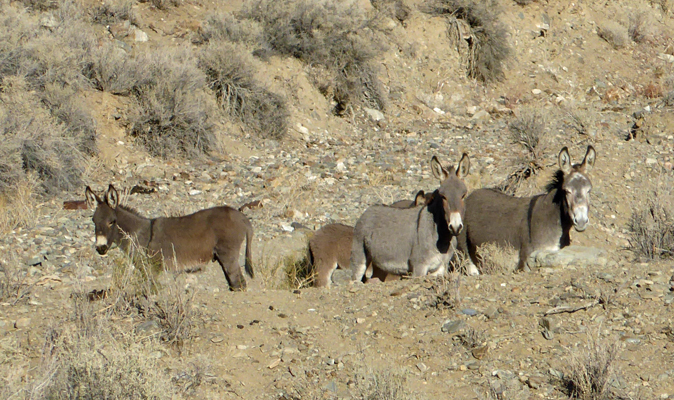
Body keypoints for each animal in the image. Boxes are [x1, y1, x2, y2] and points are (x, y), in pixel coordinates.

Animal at [84, 184, 252, 290]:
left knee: (239, 283)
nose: (100, 248)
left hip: (228, 254)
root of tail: (241, 216)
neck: (140, 234)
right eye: (93, 221)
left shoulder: (152, 270)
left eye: (111, 221)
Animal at [350, 153, 470, 282]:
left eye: (463, 195)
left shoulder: (440, 267)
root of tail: (366, 211)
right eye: (443, 196)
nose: (455, 227)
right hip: (360, 257)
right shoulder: (419, 267)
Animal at [456, 145, 592, 274]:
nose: (581, 221)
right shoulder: (526, 262)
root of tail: (471, 196)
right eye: (566, 191)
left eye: (589, 190)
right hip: (463, 246)